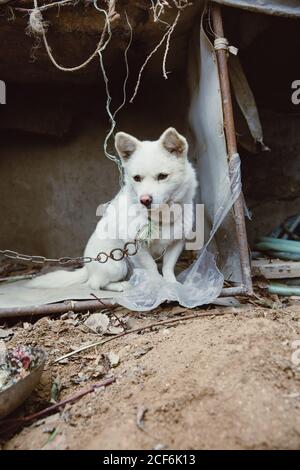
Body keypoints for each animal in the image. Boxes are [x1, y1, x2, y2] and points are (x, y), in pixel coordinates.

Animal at [28, 127, 197, 290]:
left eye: (162, 176)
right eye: (137, 178)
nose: (144, 200)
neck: (161, 216)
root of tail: (88, 267)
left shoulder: (177, 243)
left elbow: (168, 267)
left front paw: (172, 284)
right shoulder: (135, 247)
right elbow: (152, 268)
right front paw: (158, 286)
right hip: (117, 264)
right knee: (96, 284)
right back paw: (122, 285)